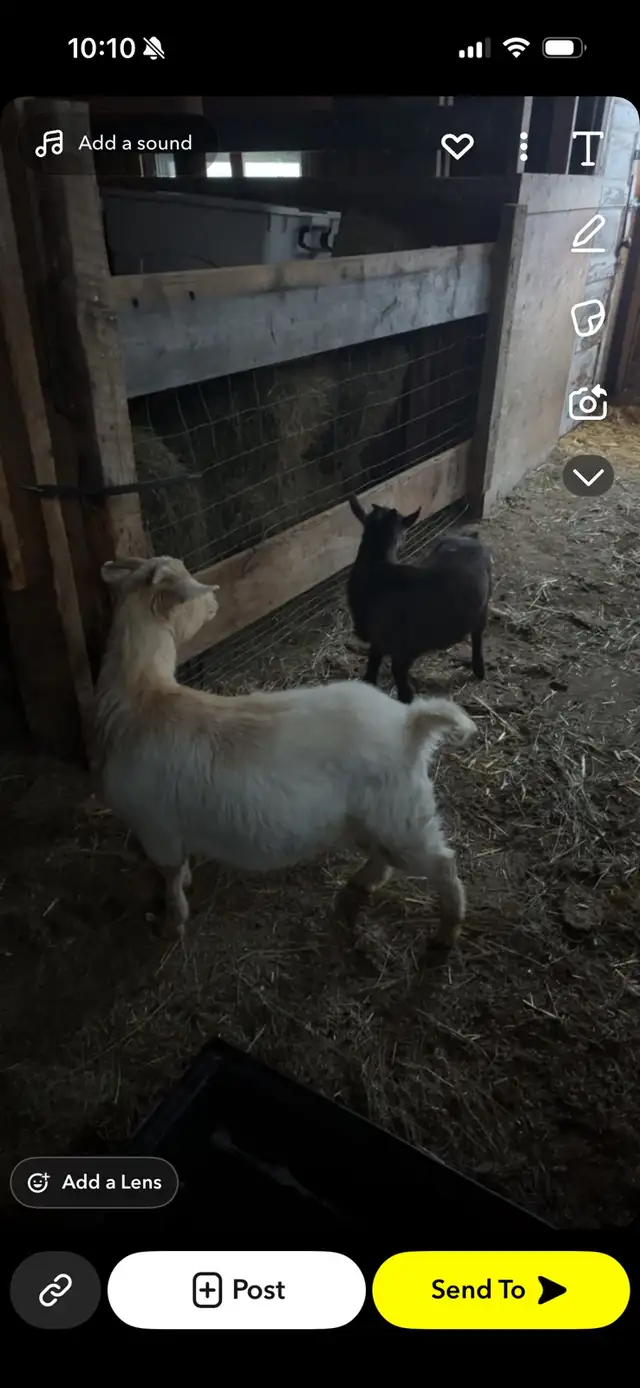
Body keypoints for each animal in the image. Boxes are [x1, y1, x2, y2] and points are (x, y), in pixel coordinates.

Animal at [95, 554, 477, 950]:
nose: (216, 601)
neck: (141, 699)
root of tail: (410, 724)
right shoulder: (164, 829)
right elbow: (178, 872)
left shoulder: (156, 828)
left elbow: (170, 880)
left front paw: (172, 925)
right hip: (377, 815)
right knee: (383, 856)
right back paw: (360, 885)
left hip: (401, 815)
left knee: (442, 864)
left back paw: (446, 932)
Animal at [347, 497, 492, 704]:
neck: (378, 570)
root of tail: (470, 537)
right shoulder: (379, 642)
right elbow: (372, 668)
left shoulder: (406, 647)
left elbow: (398, 675)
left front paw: (407, 699)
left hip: (484, 603)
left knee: (478, 634)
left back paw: (479, 669)